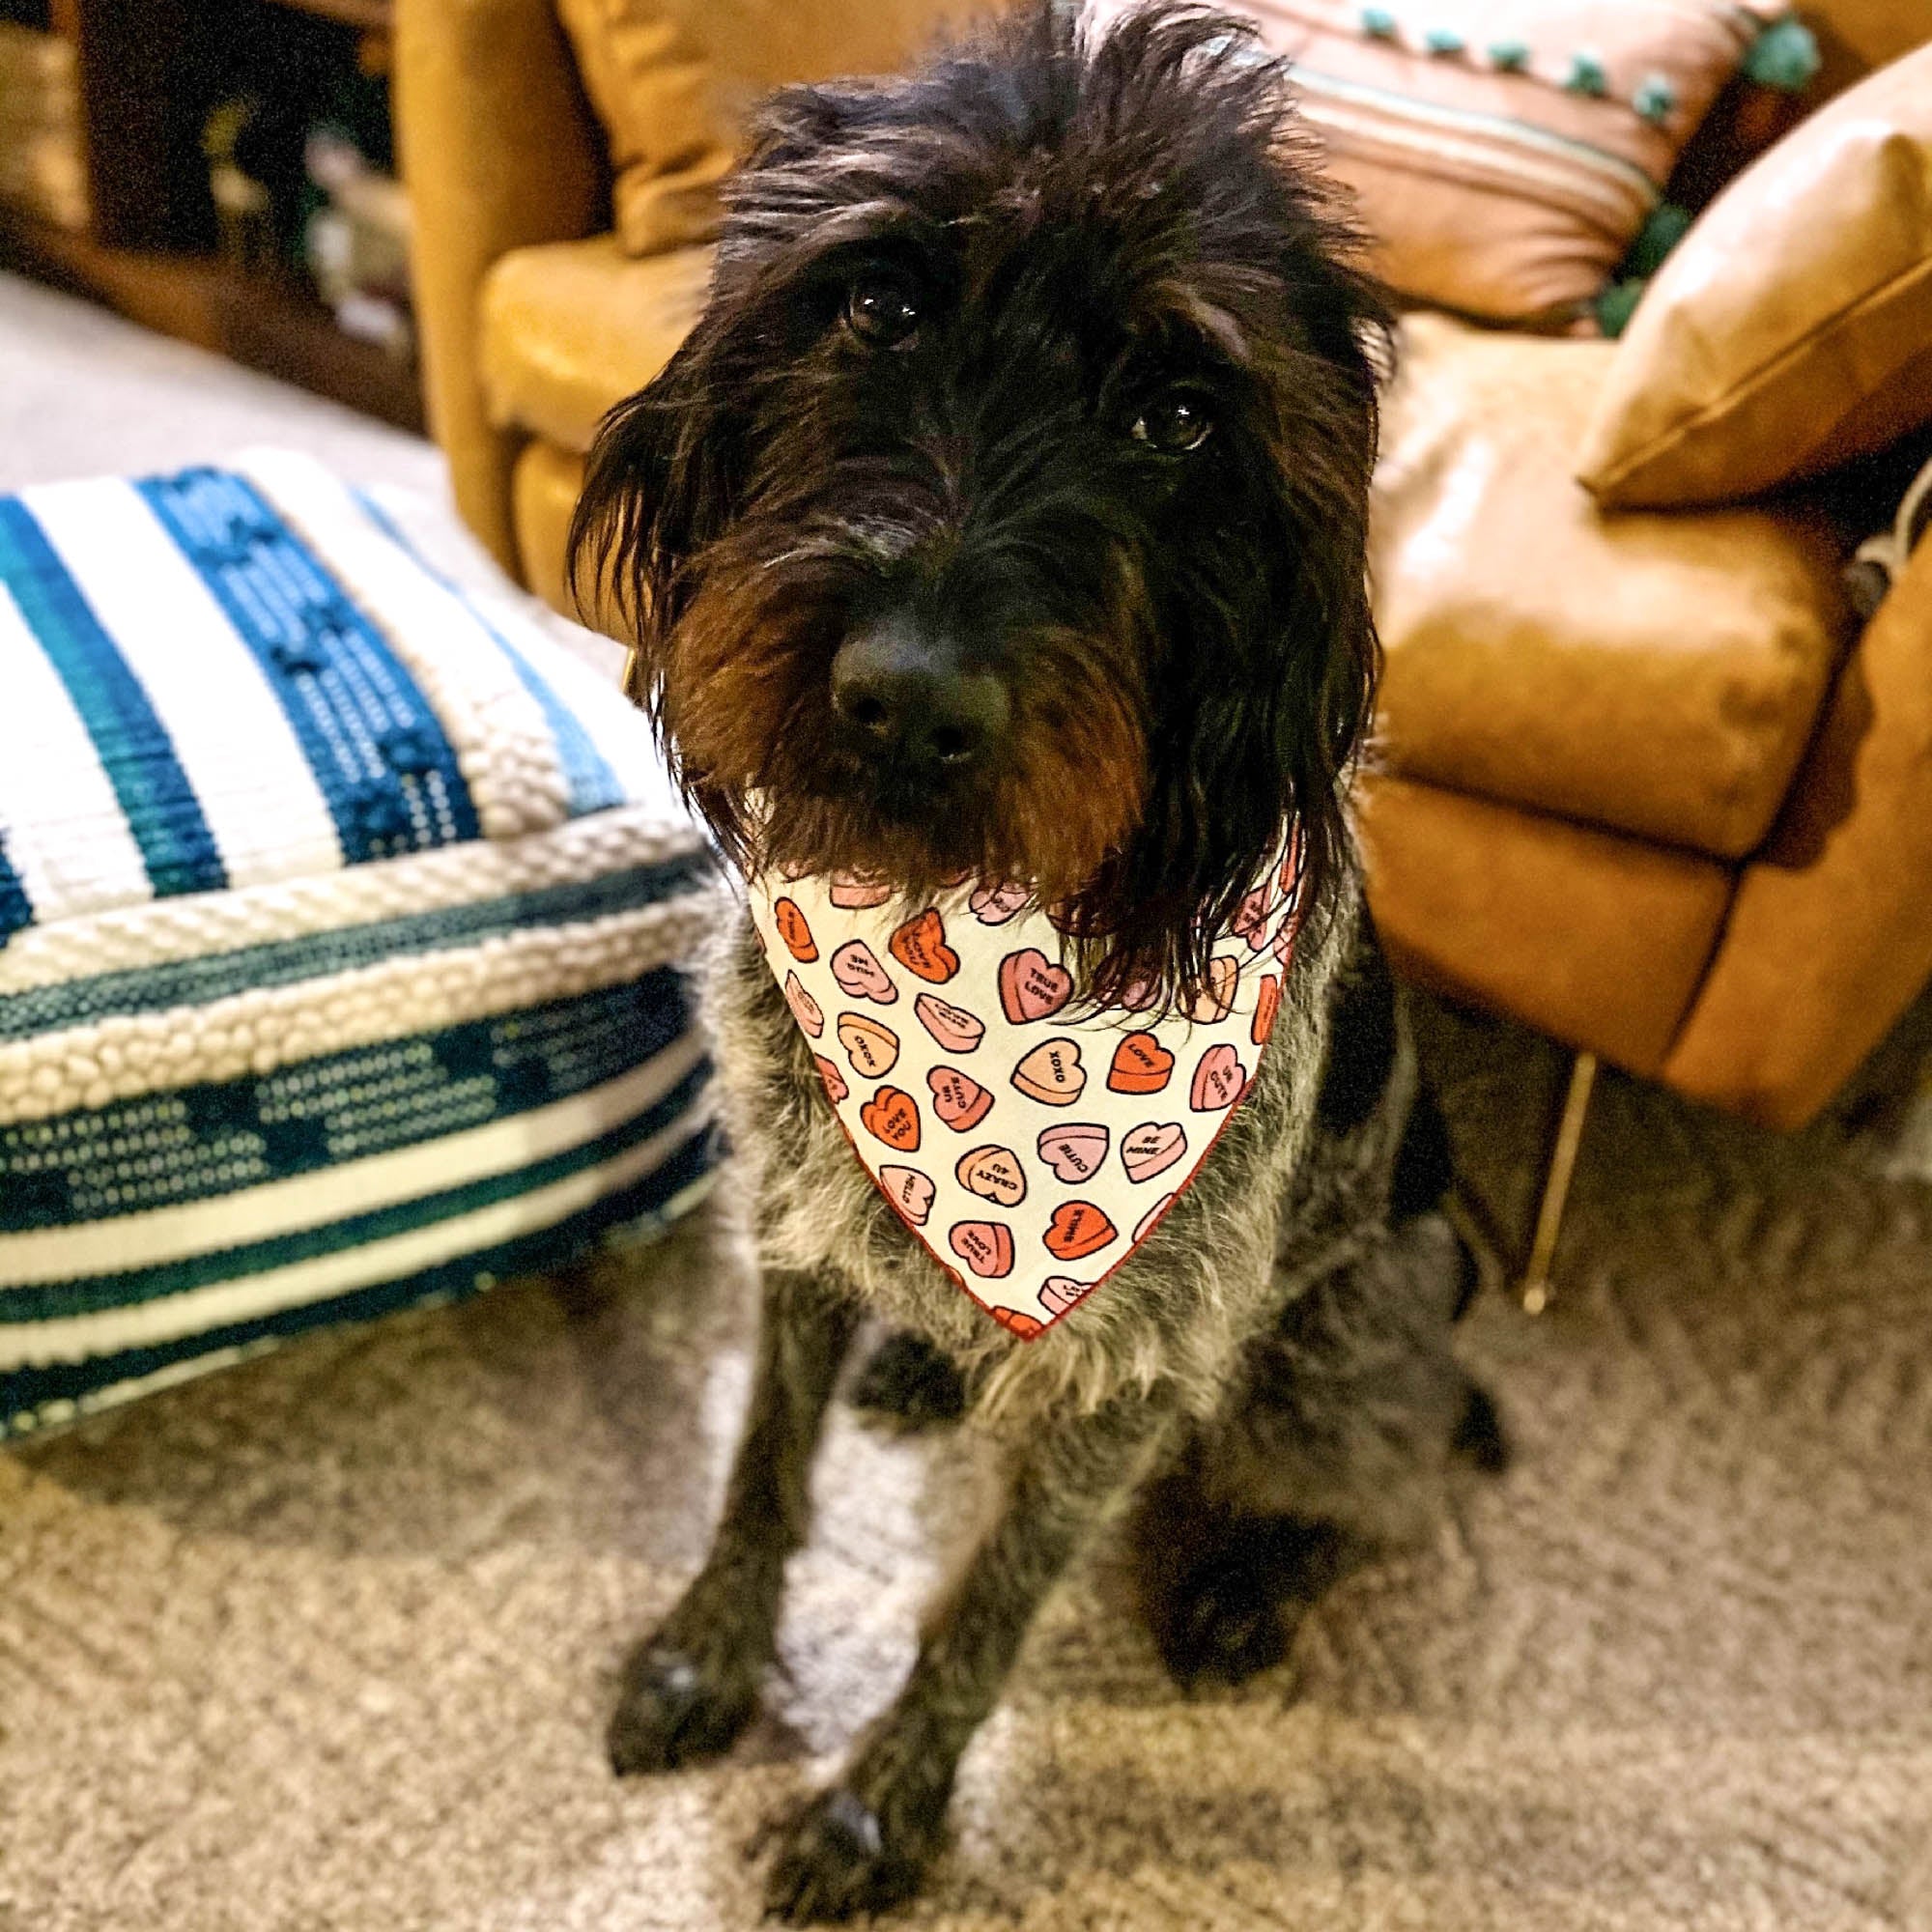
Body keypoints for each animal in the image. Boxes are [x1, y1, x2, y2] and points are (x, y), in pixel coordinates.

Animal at [564, 7, 1499, 1917]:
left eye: (1180, 417)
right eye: (877, 304)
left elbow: (987, 1611)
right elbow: (760, 1469)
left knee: (1390, 1478)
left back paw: (1250, 1581)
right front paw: (710, 1653)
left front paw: (880, 1812)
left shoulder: (1128, 1377)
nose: (905, 701)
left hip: (1338, 1346)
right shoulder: (794, 1211)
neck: (959, 935)